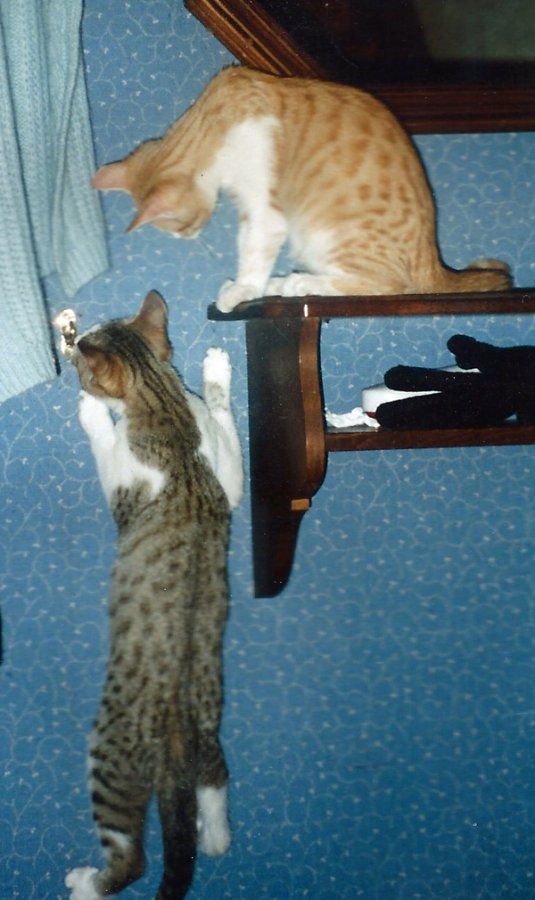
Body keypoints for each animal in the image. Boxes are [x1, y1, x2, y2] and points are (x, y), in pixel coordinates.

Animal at [65, 291, 241, 900]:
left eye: (81, 357)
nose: (73, 340)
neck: (167, 412)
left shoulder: (124, 485)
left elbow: (104, 446)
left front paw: (93, 414)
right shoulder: (227, 483)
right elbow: (226, 425)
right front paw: (218, 371)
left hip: (107, 755)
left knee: (132, 859)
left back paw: (85, 883)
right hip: (210, 726)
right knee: (215, 777)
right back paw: (214, 835)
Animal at [92, 65, 511, 313]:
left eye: (180, 228)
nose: (187, 239)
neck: (215, 118)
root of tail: (432, 256)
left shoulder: (264, 210)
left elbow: (252, 253)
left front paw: (243, 289)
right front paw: (253, 286)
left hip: (326, 237)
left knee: (391, 286)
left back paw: (299, 282)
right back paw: (282, 284)